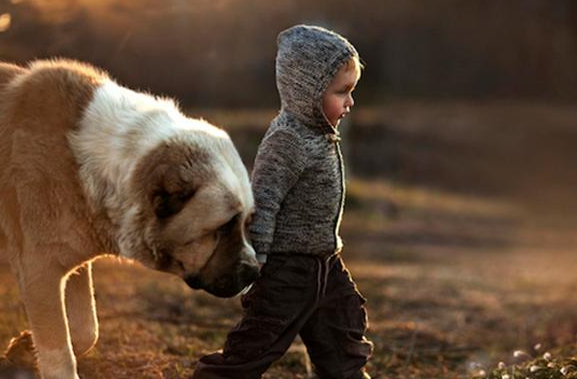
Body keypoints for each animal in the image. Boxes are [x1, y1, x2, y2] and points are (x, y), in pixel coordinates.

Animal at [0, 60, 258, 379]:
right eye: (222, 228)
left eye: (246, 223)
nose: (255, 272)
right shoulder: (40, 269)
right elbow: (59, 351)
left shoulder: (69, 262)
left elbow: (86, 329)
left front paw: (25, 346)